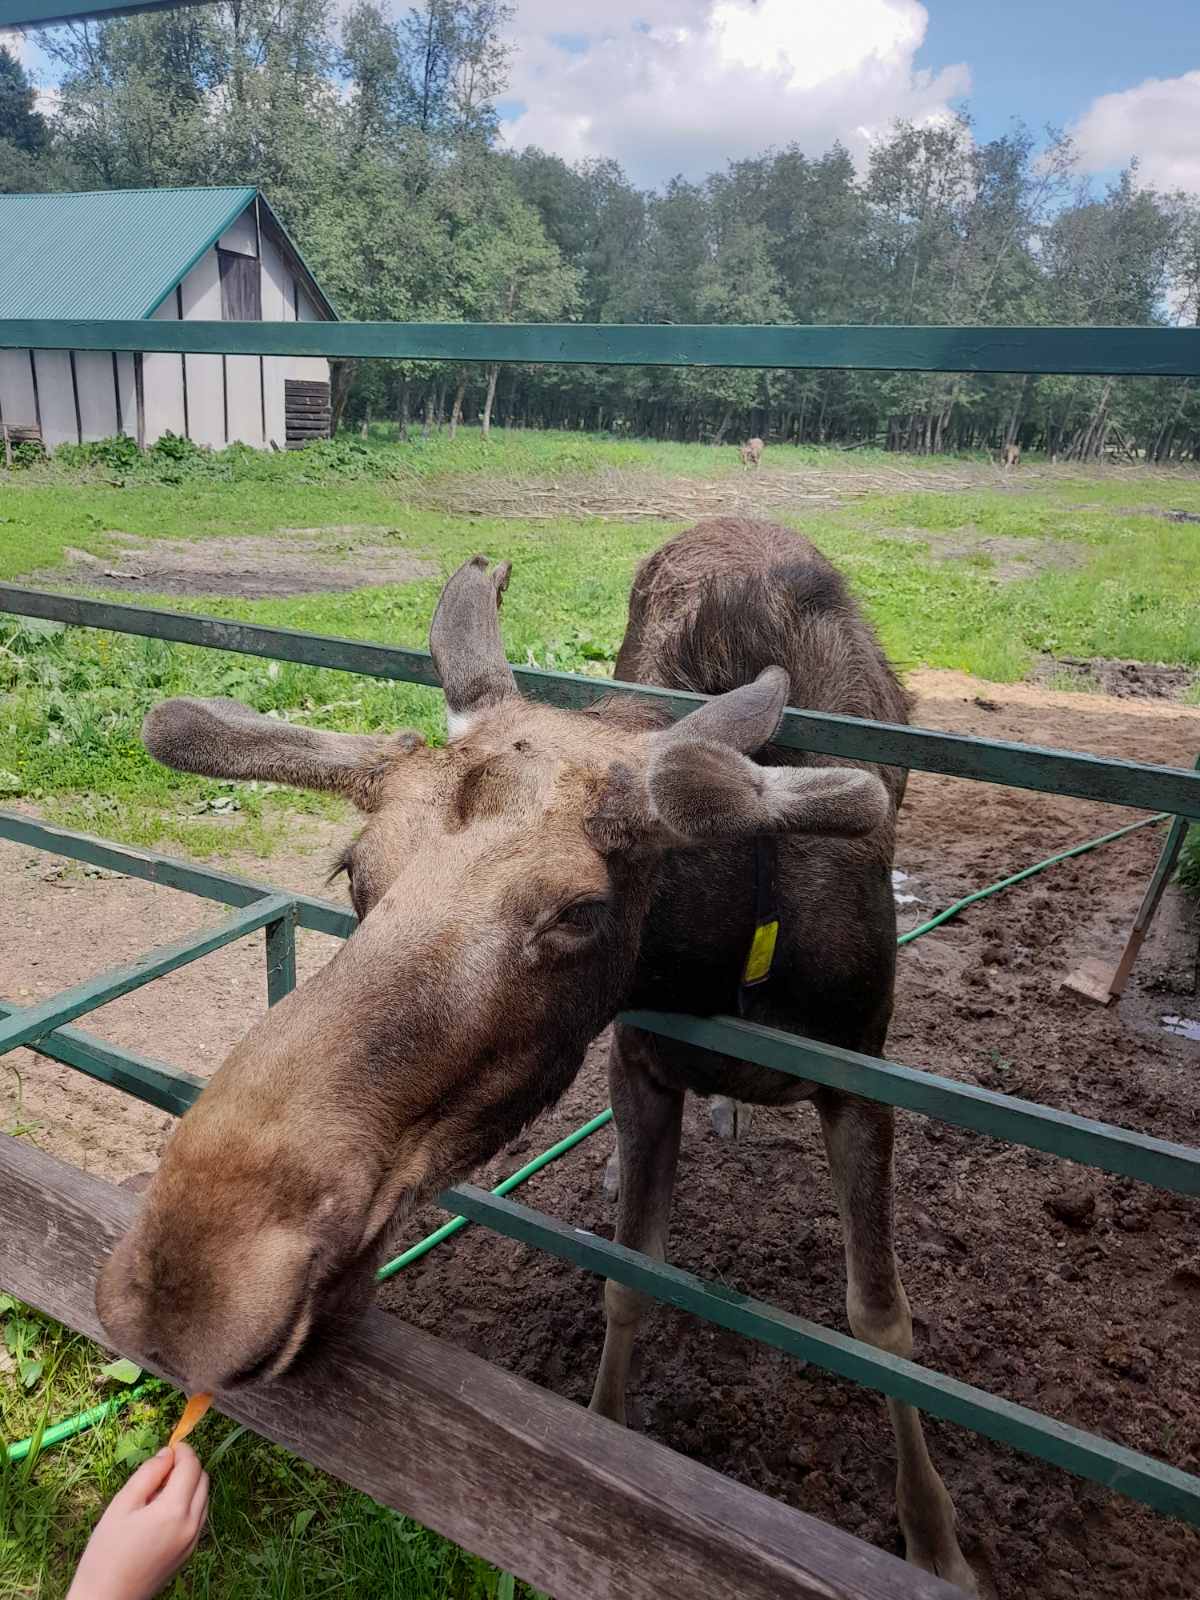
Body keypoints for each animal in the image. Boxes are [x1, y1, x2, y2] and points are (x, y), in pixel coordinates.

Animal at [94, 521, 979, 1587]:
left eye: (580, 912)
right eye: (355, 871)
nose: (188, 1281)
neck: (730, 952)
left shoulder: (861, 1077)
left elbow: (881, 1326)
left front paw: (938, 1545)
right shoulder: (639, 1063)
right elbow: (630, 1279)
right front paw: (606, 1423)